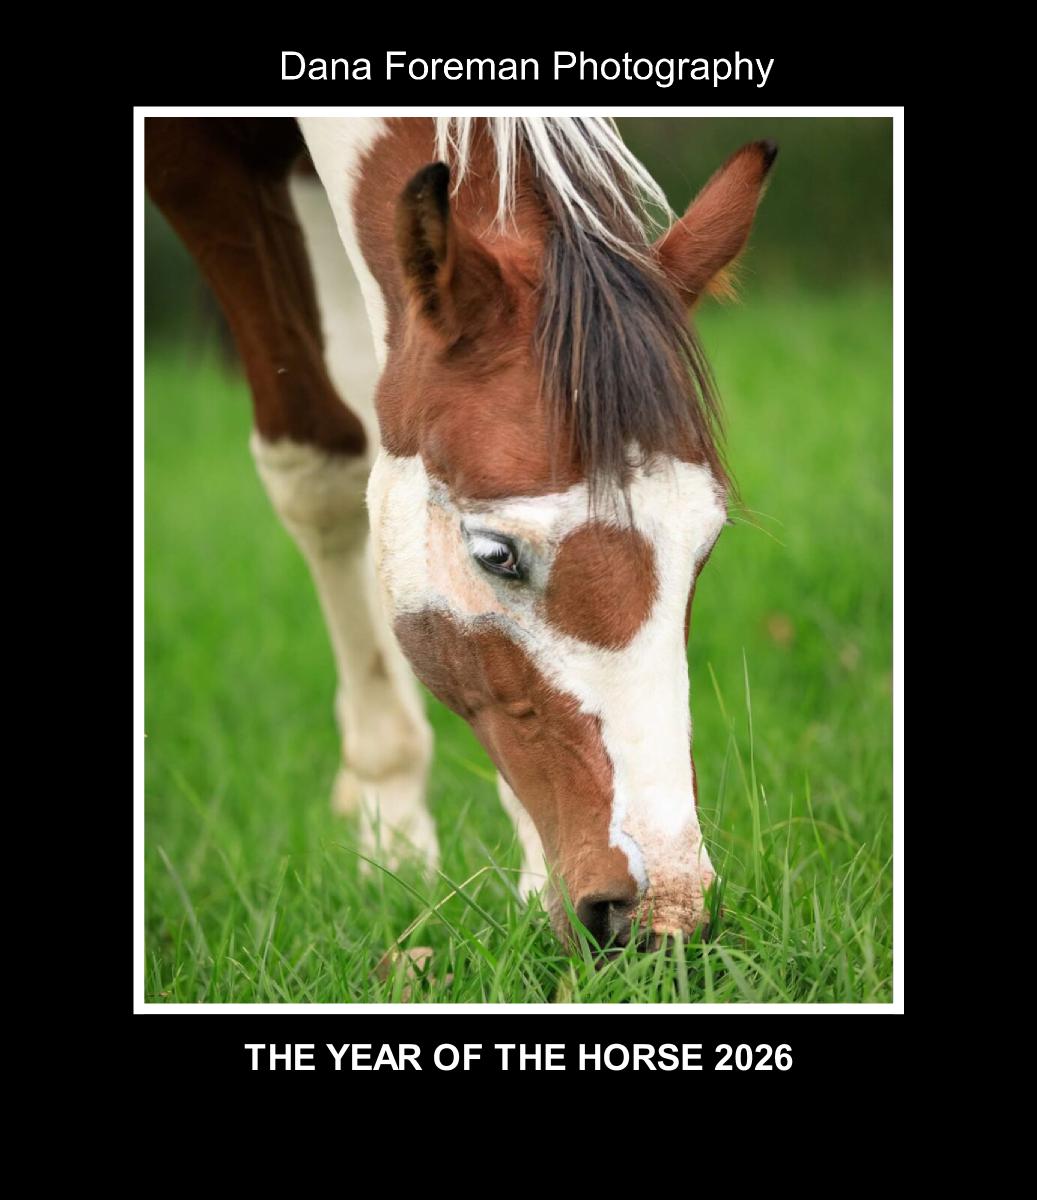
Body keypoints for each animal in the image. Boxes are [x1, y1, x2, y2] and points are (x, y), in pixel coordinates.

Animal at [145, 116, 775, 951]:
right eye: (496, 556)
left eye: (702, 547)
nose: (656, 918)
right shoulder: (204, 170)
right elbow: (319, 469)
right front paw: (393, 837)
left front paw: (530, 871)